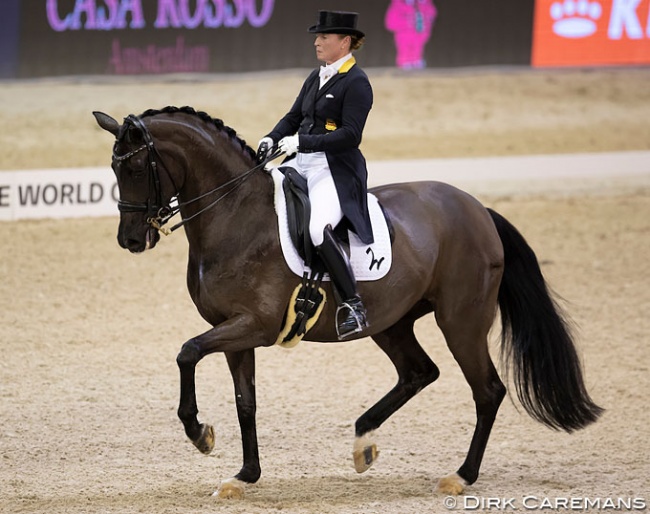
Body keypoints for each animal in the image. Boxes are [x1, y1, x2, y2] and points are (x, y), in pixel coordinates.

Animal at [92, 106, 604, 498]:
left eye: (134, 170)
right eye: (114, 170)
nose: (130, 240)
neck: (235, 215)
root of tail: (477, 208)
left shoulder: (253, 324)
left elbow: (187, 352)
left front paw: (200, 434)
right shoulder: (234, 332)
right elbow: (245, 402)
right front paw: (243, 477)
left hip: (461, 321)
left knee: (487, 390)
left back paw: (460, 476)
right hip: (391, 322)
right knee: (419, 372)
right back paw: (364, 443)